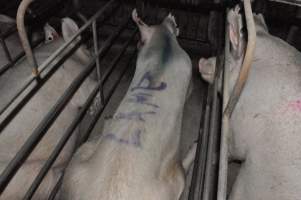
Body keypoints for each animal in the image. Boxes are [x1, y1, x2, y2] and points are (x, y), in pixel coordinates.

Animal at [60, 8, 197, 199]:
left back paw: (107, 120)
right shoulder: (188, 67)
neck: (164, 45)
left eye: (141, 40)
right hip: (171, 184)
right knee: (181, 173)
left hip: (77, 164)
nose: (138, 44)